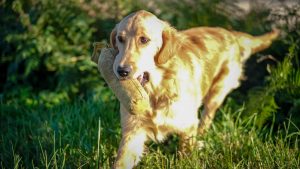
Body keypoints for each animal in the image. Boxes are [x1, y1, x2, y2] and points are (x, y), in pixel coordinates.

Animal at [109, 9, 278, 168]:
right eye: (120, 39)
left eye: (144, 40)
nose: (121, 71)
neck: (157, 91)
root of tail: (230, 33)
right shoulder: (133, 133)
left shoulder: (188, 126)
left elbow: (185, 154)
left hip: (217, 93)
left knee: (207, 117)